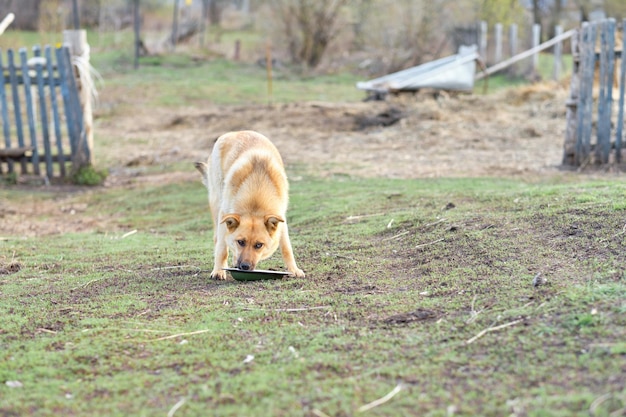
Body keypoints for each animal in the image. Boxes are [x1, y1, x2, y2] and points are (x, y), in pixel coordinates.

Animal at [193, 130, 304, 280]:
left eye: (259, 245)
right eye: (241, 242)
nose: (244, 267)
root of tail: (236, 132)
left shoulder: (281, 220)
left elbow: (286, 248)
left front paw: (293, 269)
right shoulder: (224, 215)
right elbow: (222, 249)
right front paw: (218, 271)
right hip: (217, 203)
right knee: (218, 239)